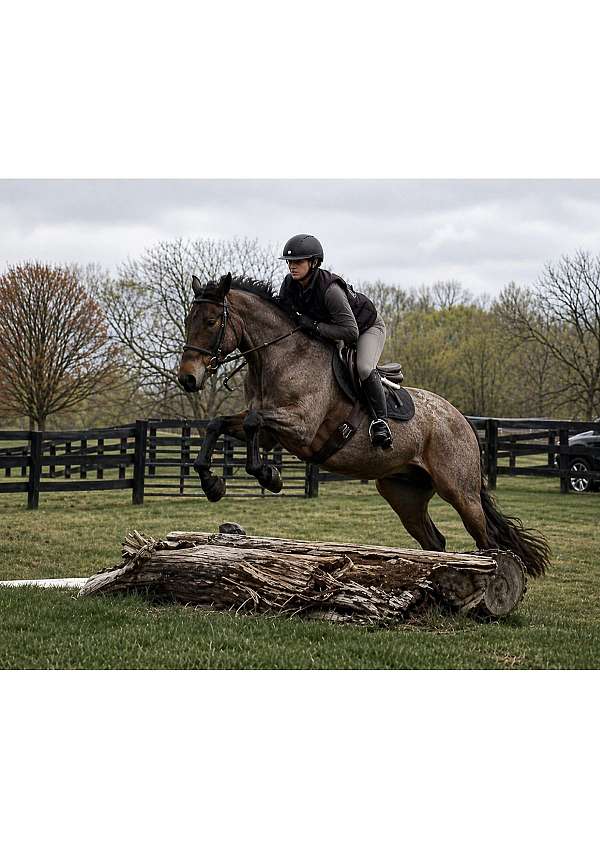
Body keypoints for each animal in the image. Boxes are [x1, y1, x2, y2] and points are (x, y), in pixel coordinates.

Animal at [178, 272, 550, 578]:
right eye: (187, 321)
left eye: (211, 321)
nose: (187, 379)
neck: (280, 357)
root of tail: (462, 420)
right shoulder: (271, 434)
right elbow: (218, 424)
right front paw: (212, 483)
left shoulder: (300, 427)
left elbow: (254, 422)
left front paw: (269, 476)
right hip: (403, 494)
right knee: (436, 542)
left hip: (460, 491)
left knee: (487, 542)